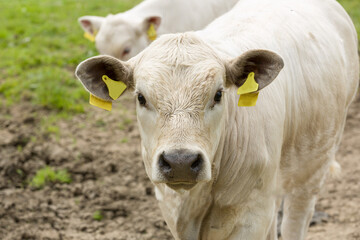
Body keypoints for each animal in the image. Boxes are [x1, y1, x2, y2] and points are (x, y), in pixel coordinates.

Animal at [74, 0, 358, 238]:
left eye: (219, 94)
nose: (180, 161)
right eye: (141, 97)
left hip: (313, 169)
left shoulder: (251, 215)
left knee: (295, 219)